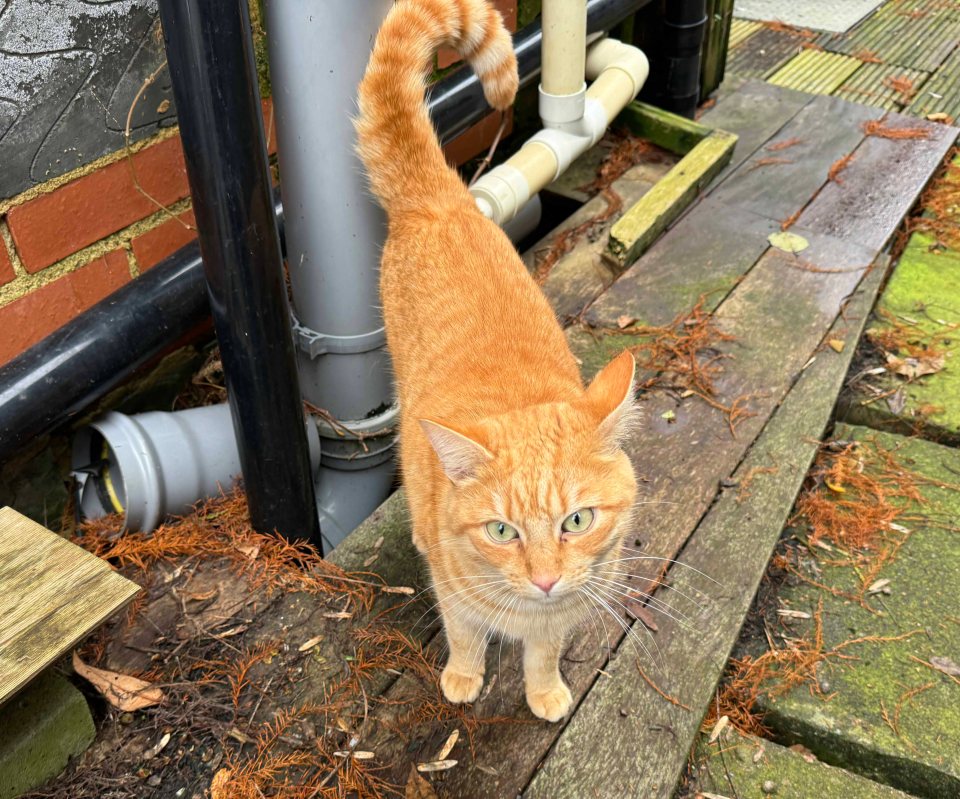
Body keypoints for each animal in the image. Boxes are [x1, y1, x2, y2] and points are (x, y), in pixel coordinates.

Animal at [352, 0, 636, 720]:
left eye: (577, 521)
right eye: (502, 531)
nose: (545, 579)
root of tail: (443, 195)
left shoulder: (561, 611)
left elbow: (543, 651)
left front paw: (545, 689)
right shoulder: (454, 590)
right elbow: (463, 633)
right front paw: (463, 674)